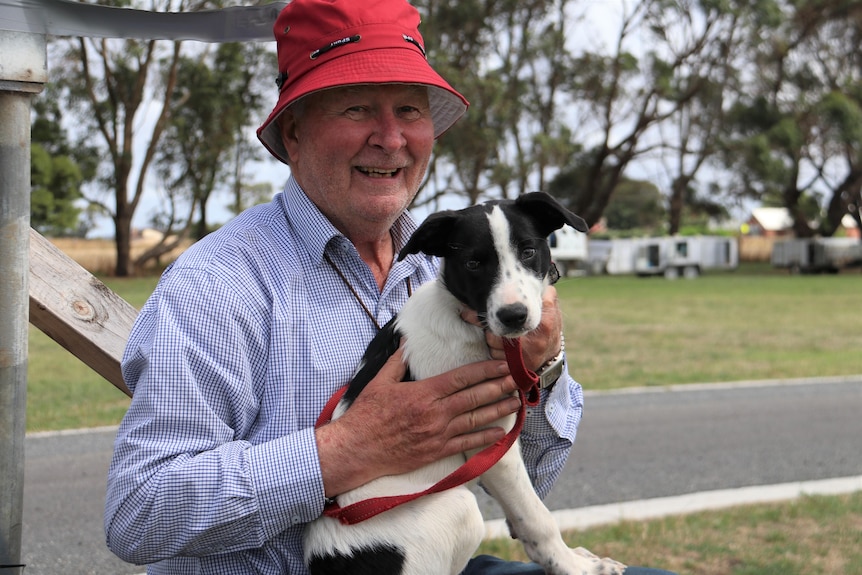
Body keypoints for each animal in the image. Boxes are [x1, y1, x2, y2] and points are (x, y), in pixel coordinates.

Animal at [308, 192, 624, 575]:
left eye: (528, 251)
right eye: (473, 263)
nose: (514, 316)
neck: (468, 323)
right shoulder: (493, 442)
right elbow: (536, 517)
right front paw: (575, 567)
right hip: (459, 506)